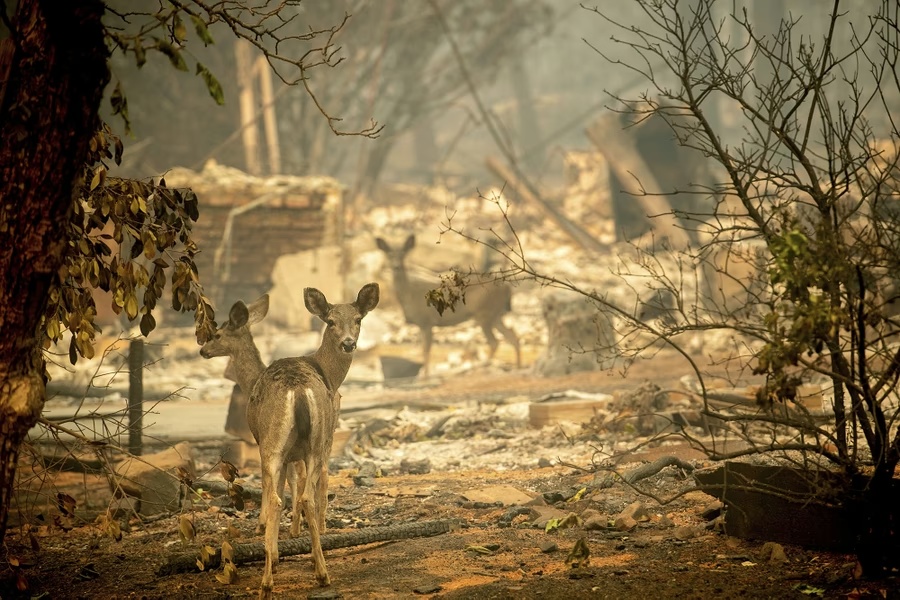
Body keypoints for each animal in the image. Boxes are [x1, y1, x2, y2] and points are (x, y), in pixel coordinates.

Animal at [245, 283, 379, 597]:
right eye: (330, 321)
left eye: (358, 319)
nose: (348, 343)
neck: (329, 374)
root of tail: (298, 389)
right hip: (307, 442)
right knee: (298, 495)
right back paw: (309, 573)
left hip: (280, 443)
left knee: (284, 496)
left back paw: (283, 579)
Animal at [375, 234, 520, 376]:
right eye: (389, 254)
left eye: (403, 254)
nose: (396, 266)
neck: (408, 295)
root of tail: (507, 288)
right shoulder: (422, 324)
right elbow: (424, 349)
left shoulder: (426, 321)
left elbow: (426, 350)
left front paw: (425, 376)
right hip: (495, 313)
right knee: (512, 336)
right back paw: (517, 367)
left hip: (484, 313)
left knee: (494, 342)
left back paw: (479, 368)